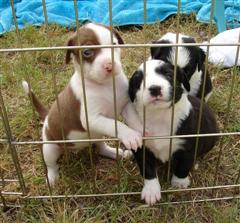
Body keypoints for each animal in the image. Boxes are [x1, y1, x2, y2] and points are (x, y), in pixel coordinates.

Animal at [22, 22, 142, 186]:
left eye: (114, 44)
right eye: (87, 52)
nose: (109, 65)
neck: (105, 85)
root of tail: (46, 118)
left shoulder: (125, 105)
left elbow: (133, 118)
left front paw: (143, 129)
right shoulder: (92, 119)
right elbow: (115, 125)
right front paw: (130, 135)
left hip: (97, 136)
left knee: (100, 148)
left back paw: (116, 153)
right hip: (50, 147)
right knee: (51, 164)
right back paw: (52, 178)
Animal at [129, 59, 219, 206]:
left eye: (169, 74)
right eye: (139, 80)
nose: (155, 88)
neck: (159, 116)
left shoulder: (187, 146)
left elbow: (183, 166)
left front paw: (179, 182)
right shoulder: (142, 147)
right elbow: (147, 168)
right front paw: (151, 191)